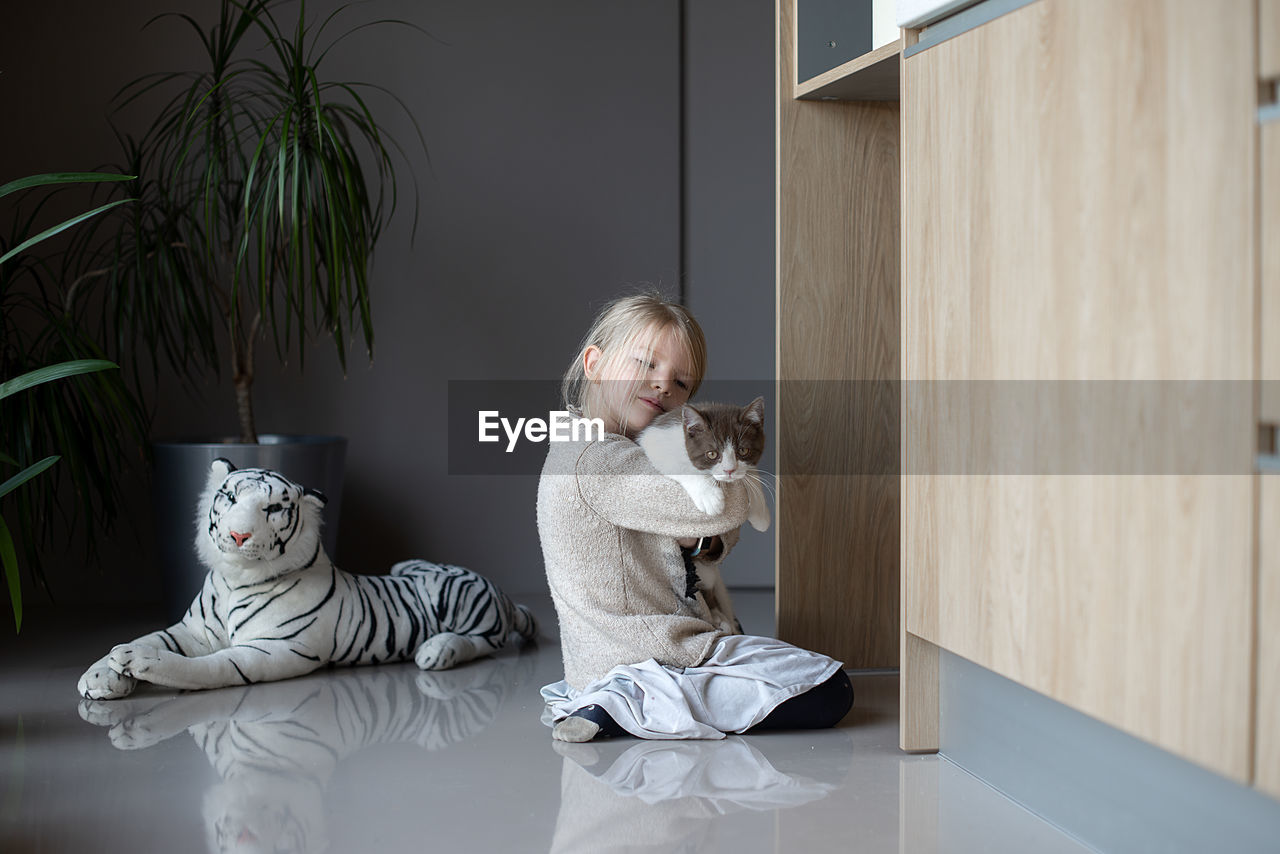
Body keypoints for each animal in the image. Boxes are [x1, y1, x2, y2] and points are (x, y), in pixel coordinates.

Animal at [637, 396, 768, 632]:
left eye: (743, 451)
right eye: (712, 454)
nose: (729, 470)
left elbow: (751, 473)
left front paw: (761, 514)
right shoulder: (654, 442)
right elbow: (681, 467)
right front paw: (710, 497)